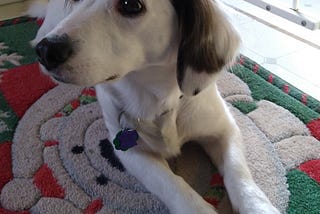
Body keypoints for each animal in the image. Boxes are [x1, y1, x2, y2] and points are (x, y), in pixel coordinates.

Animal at [29, 0, 280, 213]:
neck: (161, 101)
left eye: (131, 5)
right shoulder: (128, 150)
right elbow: (172, 184)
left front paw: (259, 207)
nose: (47, 51)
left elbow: (239, 174)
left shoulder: (224, 128)